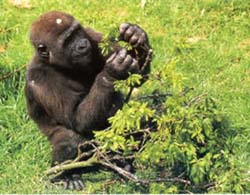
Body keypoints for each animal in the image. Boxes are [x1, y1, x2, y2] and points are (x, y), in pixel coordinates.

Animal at [25, 11, 151, 190]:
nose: (83, 45)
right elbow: (76, 119)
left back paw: (121, 163)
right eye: (68, 40)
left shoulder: (93, 37)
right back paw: (65, 175)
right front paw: (112, 71)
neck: (52, 62)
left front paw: (135, 34)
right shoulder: (41, 79)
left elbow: (137, 76)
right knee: (70, 140)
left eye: (77, 32)